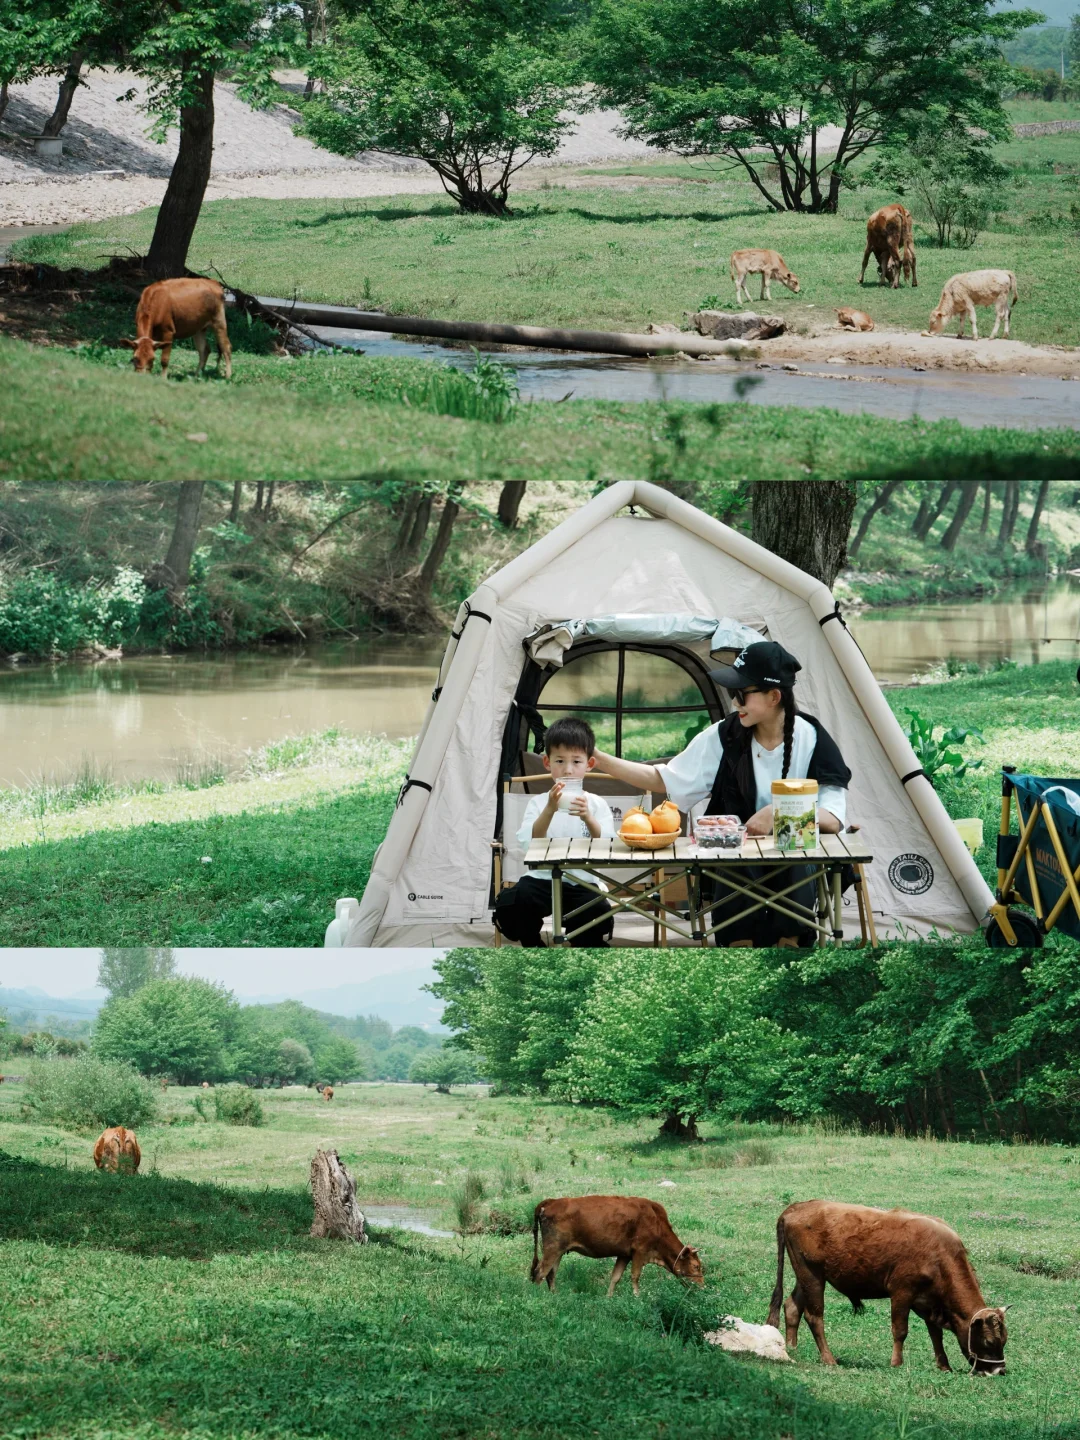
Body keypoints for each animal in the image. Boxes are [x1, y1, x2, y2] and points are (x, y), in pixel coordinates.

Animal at [535, 1192, 711, 1296]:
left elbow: (615, 1277)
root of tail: (551, 1202)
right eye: (696, 1266)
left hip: (558, 1251)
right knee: (540, 1272)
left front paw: (608, 1298)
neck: (656, 1222)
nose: (702, 1286)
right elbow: (635, 1276)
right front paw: (637, 1298)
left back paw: (554, 1295)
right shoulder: (640, 1252)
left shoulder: (624, 1255)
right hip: (552, 1249)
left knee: (551, 1274)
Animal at [766, 1198, 1013, 1376]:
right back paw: (828, 1358)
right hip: (812, 1276)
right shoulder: (902, 1292)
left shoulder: (928, 1302)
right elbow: (900, 1330)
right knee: (814, 1316)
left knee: (792, 1306)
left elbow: (936, 1333)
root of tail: (796, 1207)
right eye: (989, 1341)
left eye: (1004, 1340)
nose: (999, 1370)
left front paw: (944, 1366)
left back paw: (792, 1347)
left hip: (806, 1276)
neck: (939, 1254)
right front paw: (896, 1363)